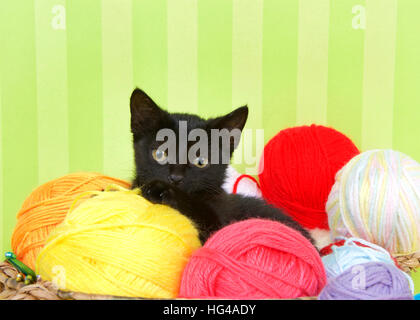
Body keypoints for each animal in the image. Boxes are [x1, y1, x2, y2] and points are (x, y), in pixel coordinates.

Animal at [130, 89, 312, 244]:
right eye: (160, 154)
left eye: (201, 161)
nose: (175, 178)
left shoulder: (218, 223)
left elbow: (199, 211)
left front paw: (161, 190)